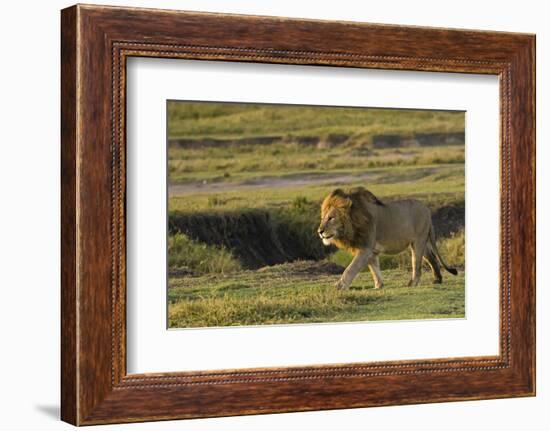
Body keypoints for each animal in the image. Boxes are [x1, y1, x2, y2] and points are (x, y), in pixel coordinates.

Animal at [316, 188, 460, 290]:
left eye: (331, 218)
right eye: (323, 218)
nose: (320, 232)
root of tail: (427, 210)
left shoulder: (365, 248)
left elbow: (350, 269)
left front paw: (339, 287)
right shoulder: (371, 251)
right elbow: (374, 269)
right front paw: (378, 286)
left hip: (418, 242)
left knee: (417, 265)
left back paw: (412, 283)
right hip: (422, 242)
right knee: (432, 258)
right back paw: (437, 280)